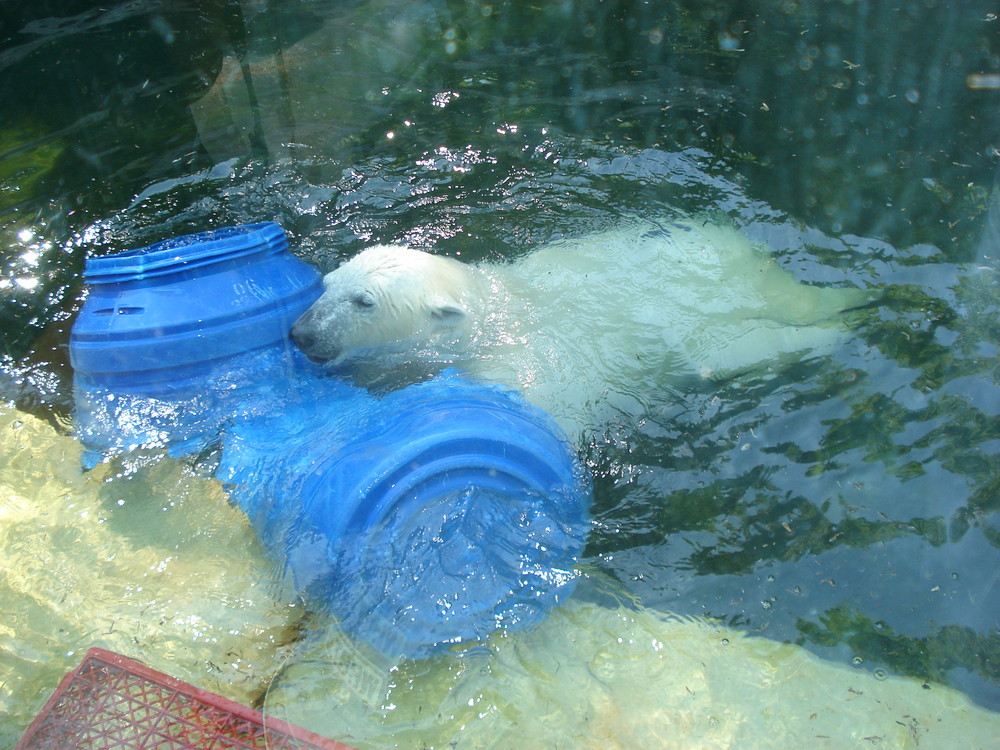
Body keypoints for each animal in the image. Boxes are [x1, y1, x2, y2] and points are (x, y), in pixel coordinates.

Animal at [292, 217, 872, 440]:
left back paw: (848, 316)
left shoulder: (532, 364)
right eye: (327, 282)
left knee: (764, 341)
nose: (300, 334)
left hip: (717, 318)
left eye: (364, 301)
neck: (496, 314)